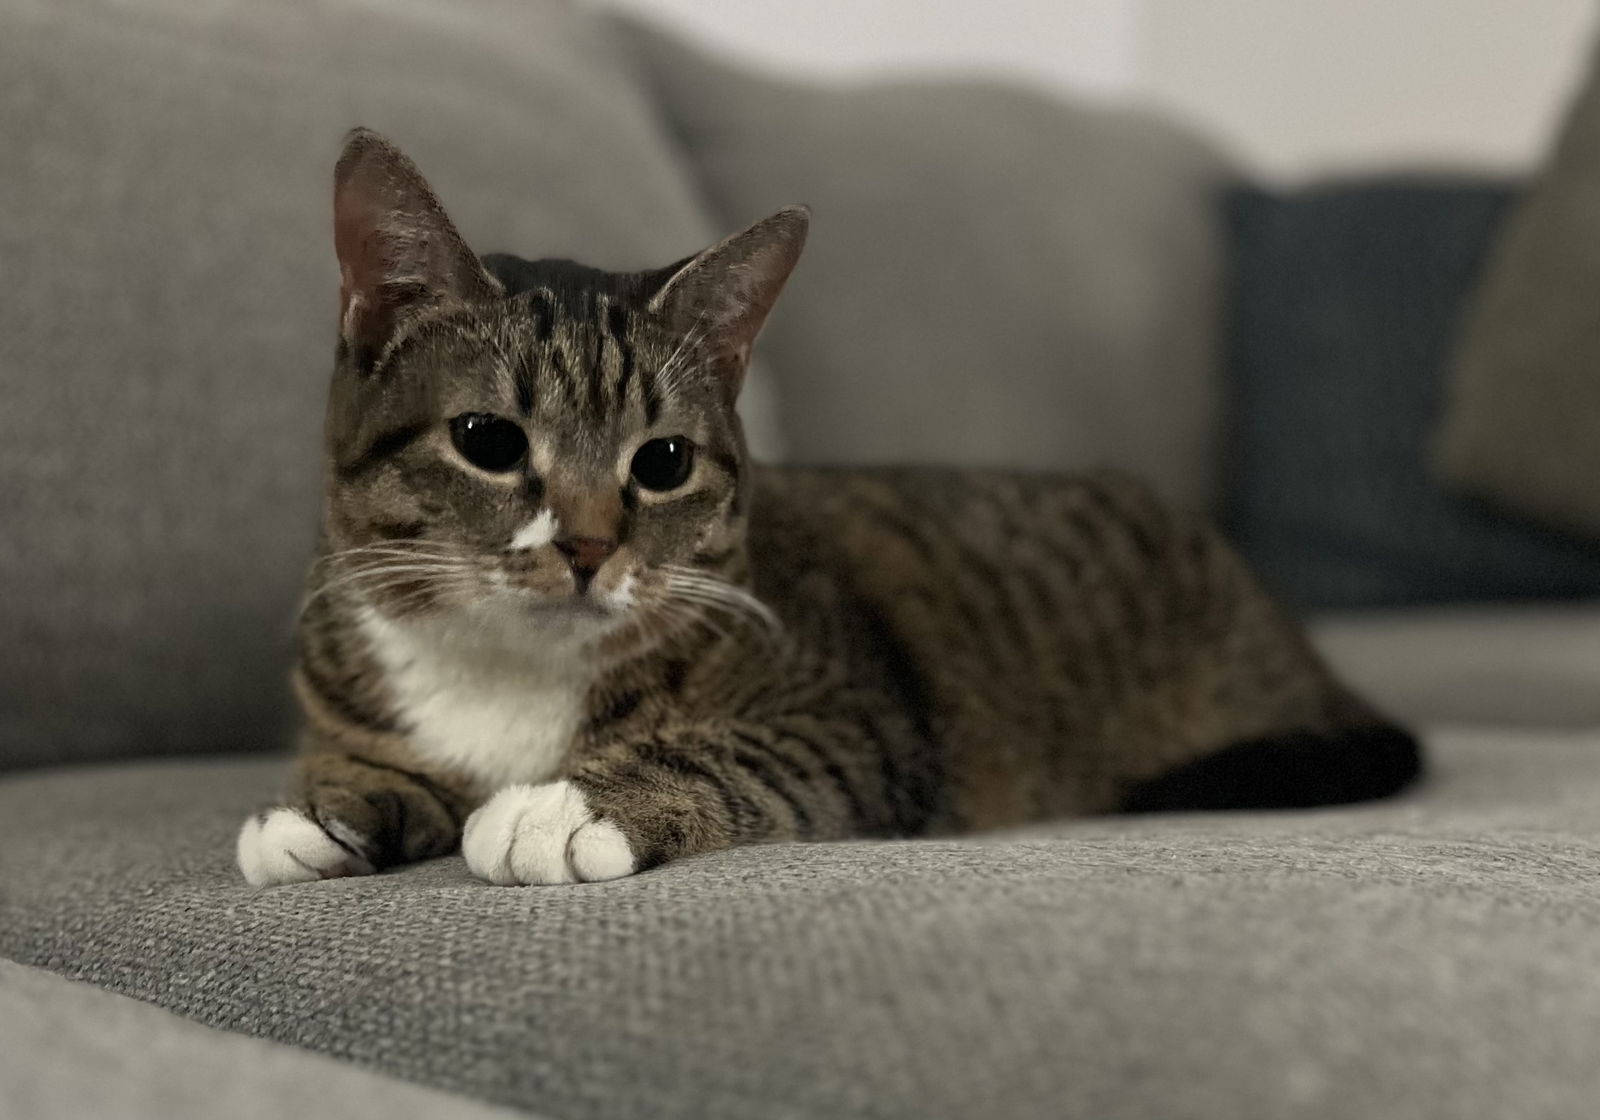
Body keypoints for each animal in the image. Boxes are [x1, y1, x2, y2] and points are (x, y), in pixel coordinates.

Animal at [233, 128, 1414, 883]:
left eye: (662, 462)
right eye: (488, 441)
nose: (589, 546)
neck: (513, 674)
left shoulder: (862, 721)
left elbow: (736, 752)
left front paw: (566, 804)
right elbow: (369, 761)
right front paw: (322, 803)